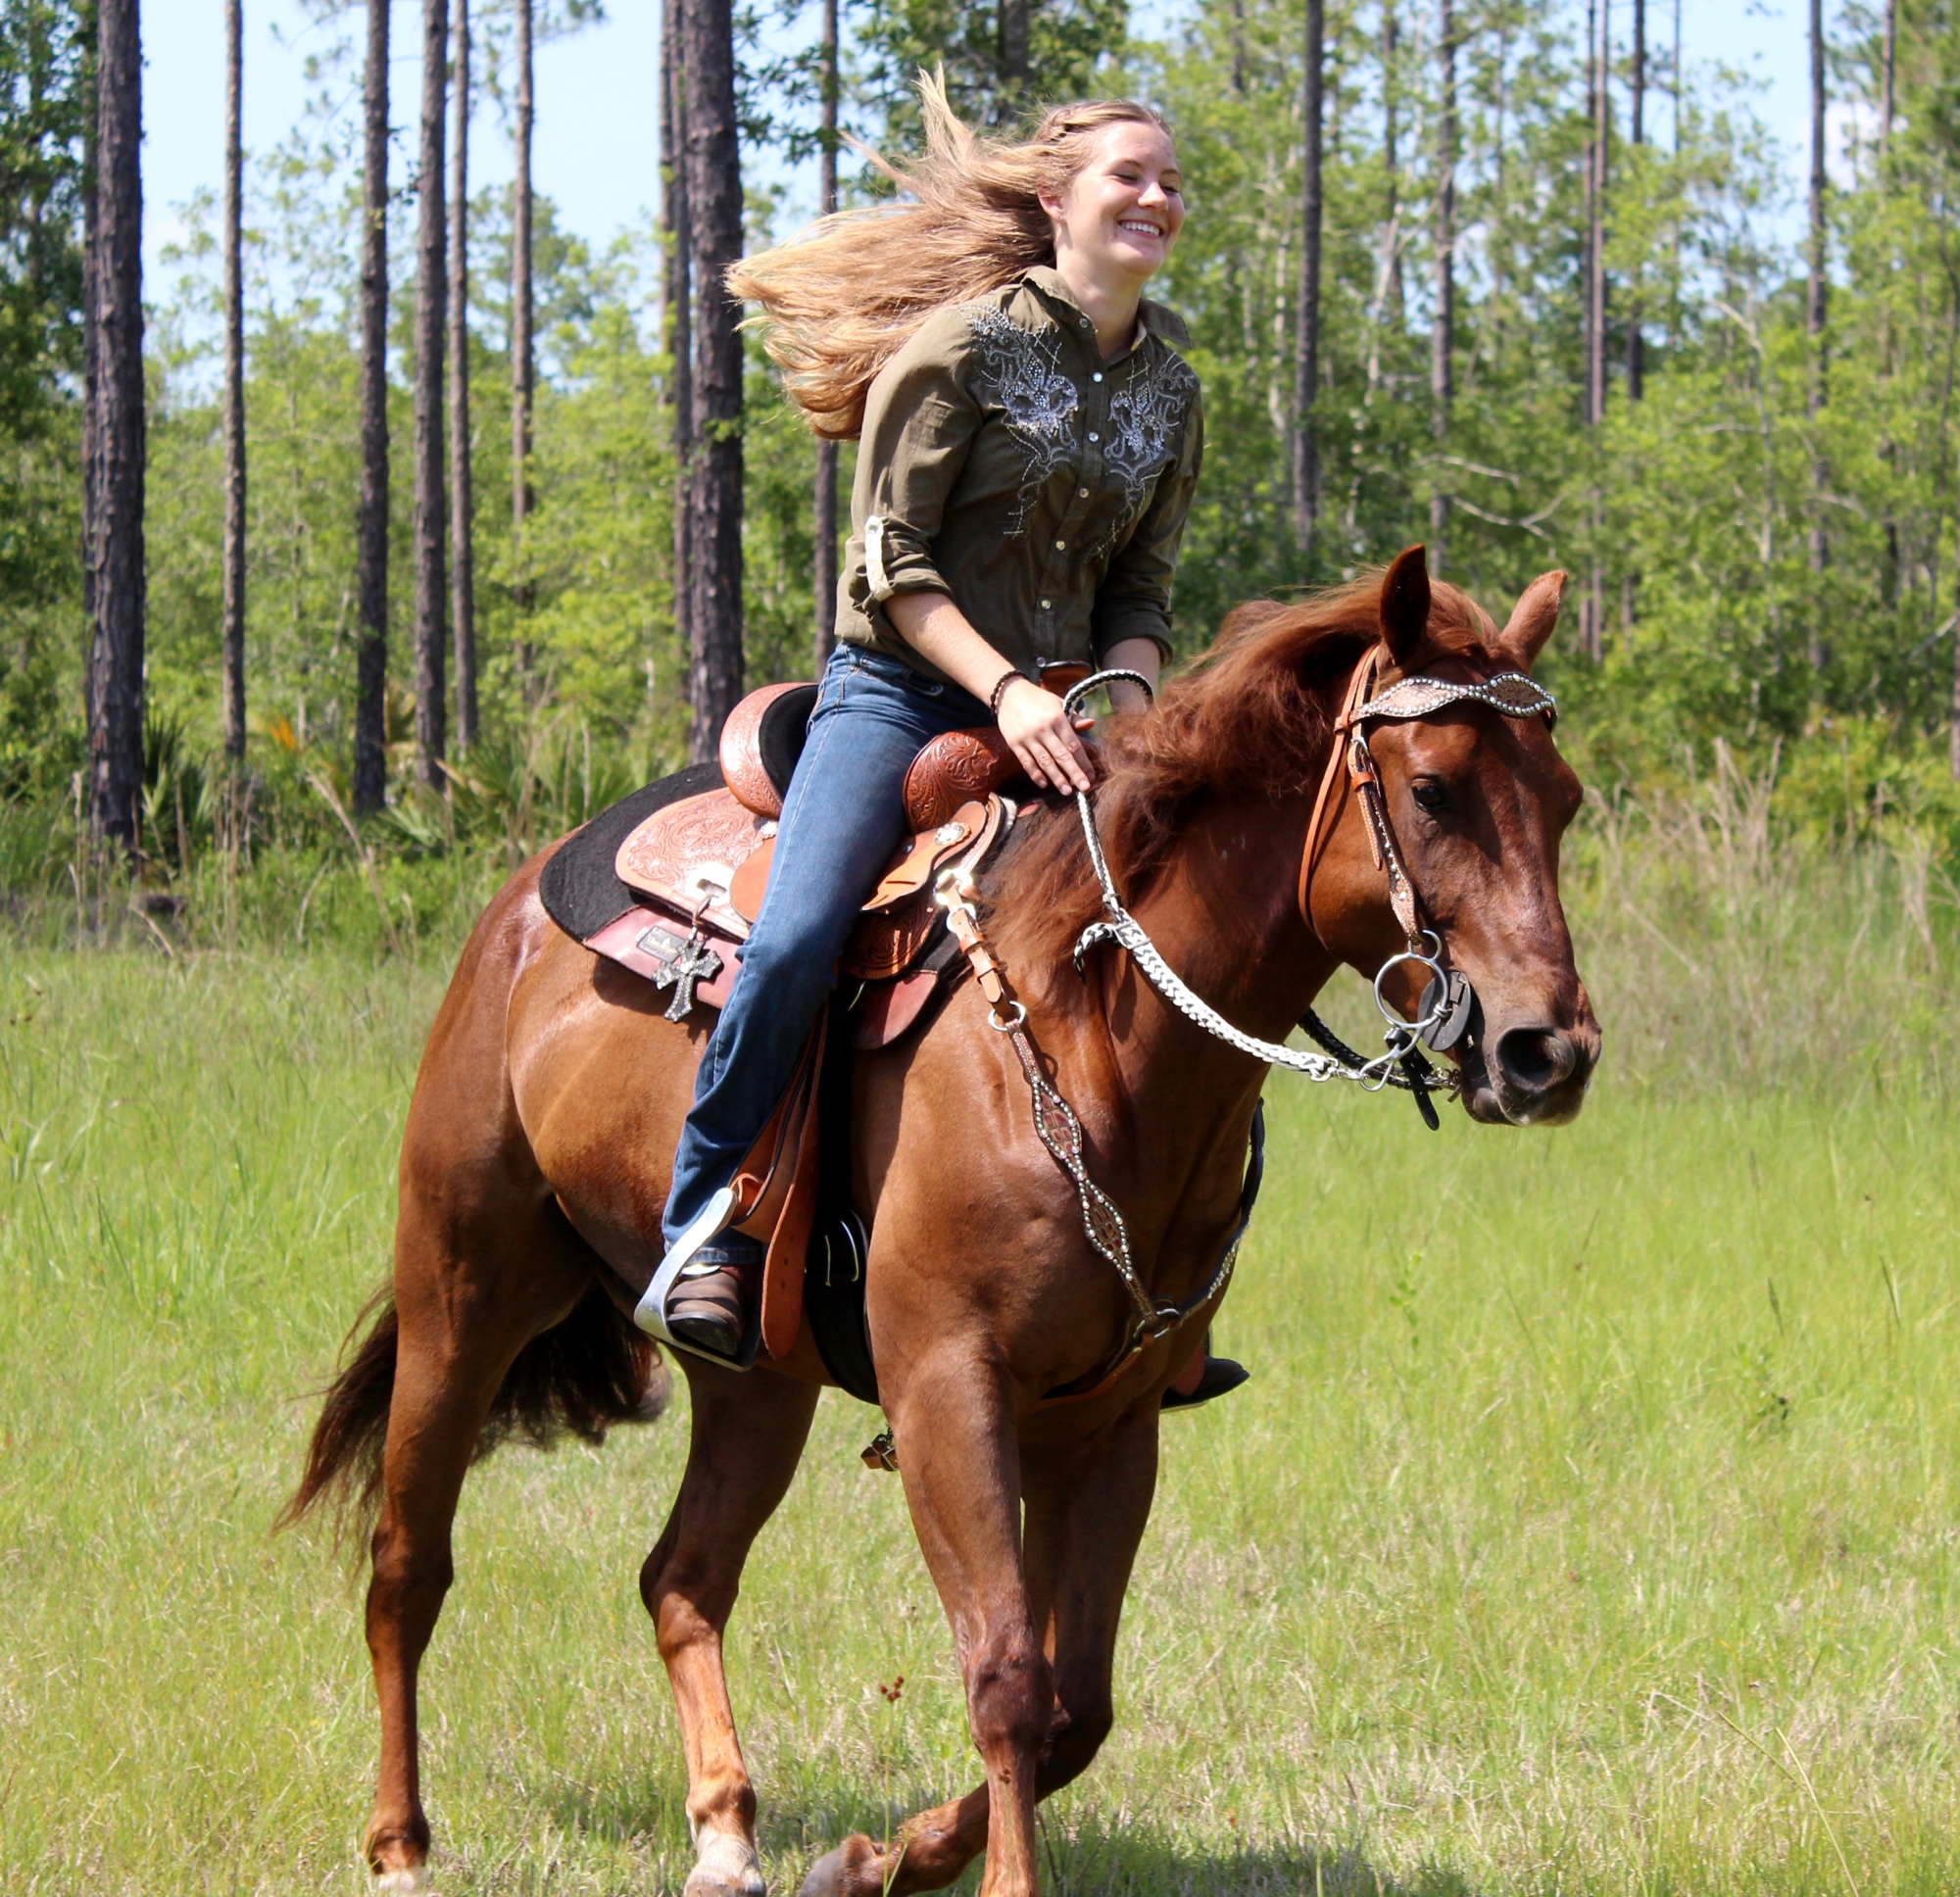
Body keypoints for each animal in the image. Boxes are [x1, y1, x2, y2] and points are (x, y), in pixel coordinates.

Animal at [294, 549, 1607, 1897]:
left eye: (1560, 799)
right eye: (1433, 789)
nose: (1544, 1051)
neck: (1093, 1021)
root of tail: (515, 913)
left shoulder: (1105, 1423)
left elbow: (1076, 1704)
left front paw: (880, 1858)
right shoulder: (947, 1389)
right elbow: (1008, 1677)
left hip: (756, 1382)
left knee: (681, 1578)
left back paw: (725, 1832)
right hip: (462, 1290)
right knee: (407, 1561)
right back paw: (398, 1843)